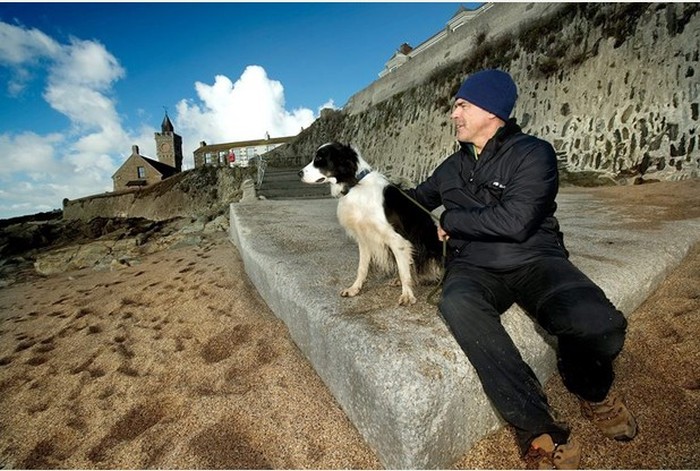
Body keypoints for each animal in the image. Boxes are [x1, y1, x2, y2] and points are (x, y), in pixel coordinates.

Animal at [298, 142, 440, 308]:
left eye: (320, 159)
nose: (299, 173)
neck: (355, 185)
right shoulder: (364, 238)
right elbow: (362, 268)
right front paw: (354, 289)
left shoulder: (397, 240)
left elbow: (404, 271)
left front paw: (407, 295)